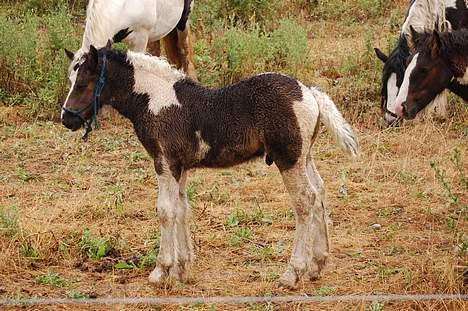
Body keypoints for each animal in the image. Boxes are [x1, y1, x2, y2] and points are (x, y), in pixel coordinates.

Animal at [58, 35, 358, 288]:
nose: (67, 118)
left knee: (305, 200)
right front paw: (182, 268)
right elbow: (182, 209)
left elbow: (165, 211)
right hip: (304, 157)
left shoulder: (164, 163)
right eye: (71, 80)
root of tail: (308, 91)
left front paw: (161, 270)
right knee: (320, 193)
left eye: (83, 83)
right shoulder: (180, 167)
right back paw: (318, 264)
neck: (155, 99)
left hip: (289, 159)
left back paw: (292, 273)